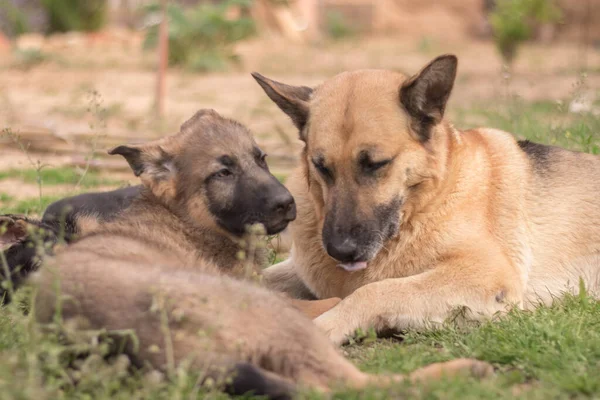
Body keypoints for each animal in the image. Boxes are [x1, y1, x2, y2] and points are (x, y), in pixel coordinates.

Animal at [1, 110, 492, 400]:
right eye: (223, 172)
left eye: (262, 158)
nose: (289, 205)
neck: (189, 220)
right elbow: (334, 300)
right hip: (280, 325)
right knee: (352, 384)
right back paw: (465, 370)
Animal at [252, 54, 600, 346]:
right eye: (321, 166)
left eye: (376, 164)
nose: (341, 250)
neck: (427, 202)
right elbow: (253, 278)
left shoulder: (485, 274)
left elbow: (376, 290)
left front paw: (323, 327)